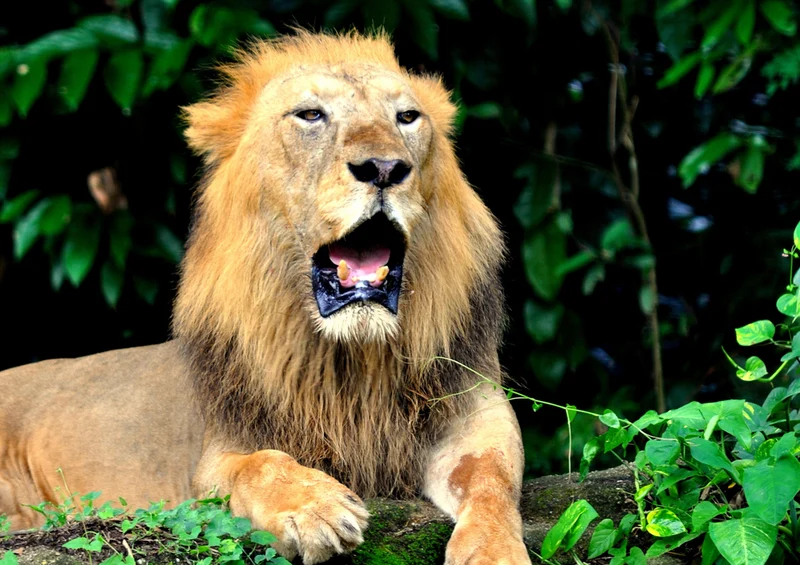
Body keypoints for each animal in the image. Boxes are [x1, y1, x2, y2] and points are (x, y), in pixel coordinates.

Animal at [0, 31, 531, 565]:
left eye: (407, 117)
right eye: (310, 115)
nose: (384, 167)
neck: (351, 358)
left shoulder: (476, 417)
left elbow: (490, 477)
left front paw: (494, 551)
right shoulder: (214, 455)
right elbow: (258, 464)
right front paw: (315, 508)